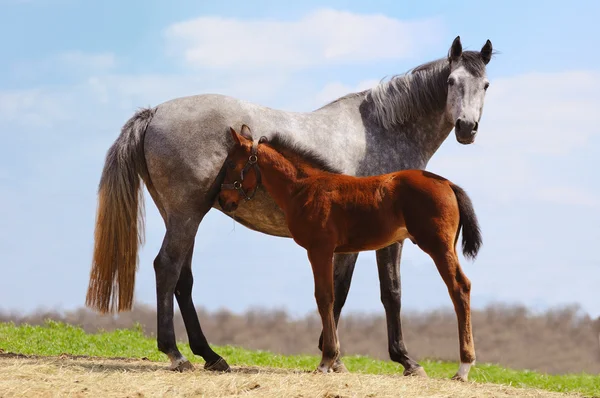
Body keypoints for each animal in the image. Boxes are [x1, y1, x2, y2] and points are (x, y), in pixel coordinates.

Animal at [220, 126, 482, 380]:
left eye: (231, 164)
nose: (224, 200)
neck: (305, 188)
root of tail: (447, 183)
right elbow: (334, 296)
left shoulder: (320, 249)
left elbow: (325, 297)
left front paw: (326, 361)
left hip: (438, 246)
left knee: (459, 287)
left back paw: (463, 367)